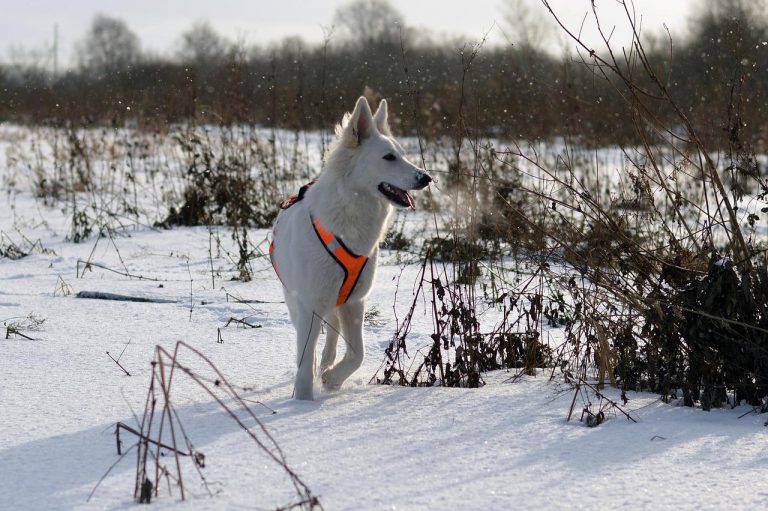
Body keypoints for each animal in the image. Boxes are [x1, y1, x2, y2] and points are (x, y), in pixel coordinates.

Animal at [270, 96, 432, 400]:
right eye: (388, 157)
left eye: (402, 154)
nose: (426, 178)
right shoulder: (310, 304)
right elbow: (304, 360)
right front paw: (303, 401)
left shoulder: (355, 301)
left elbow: (358, 354)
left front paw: (332, 380)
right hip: (298, 301)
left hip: (336, 301)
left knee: (332, 336)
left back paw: (326, 365)